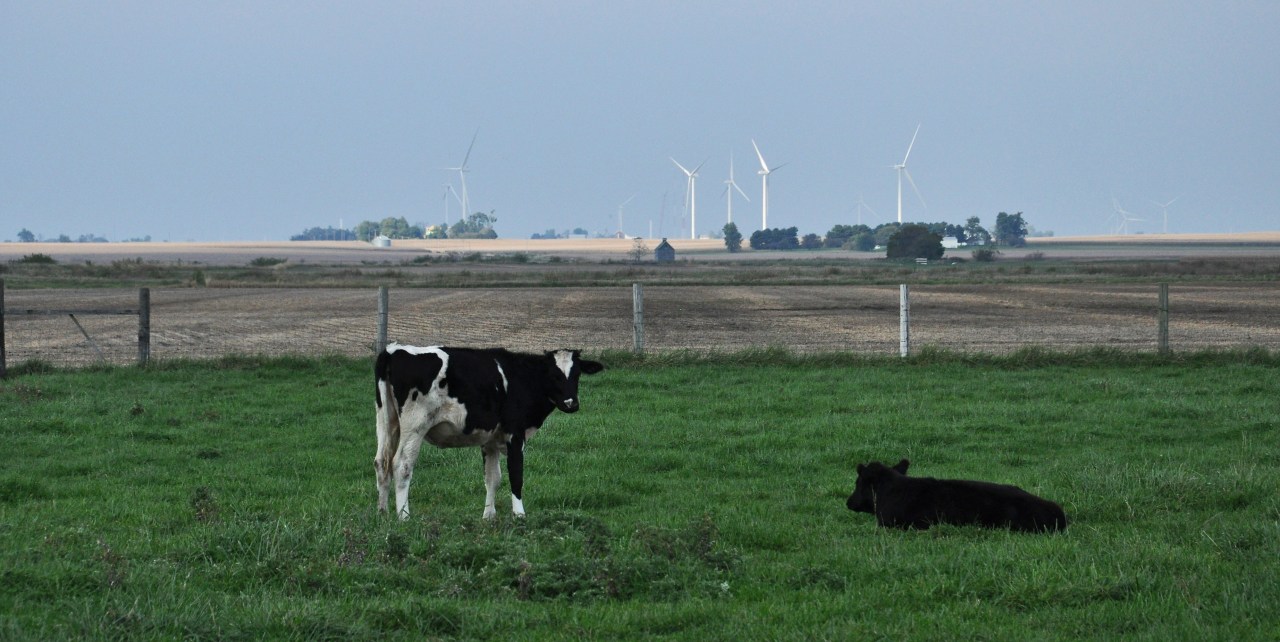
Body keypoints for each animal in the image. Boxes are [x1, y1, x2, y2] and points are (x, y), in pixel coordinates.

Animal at [374, 344, 604, 520]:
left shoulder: (490, 440)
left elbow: (492, 478)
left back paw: (383, 513)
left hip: (387, 423)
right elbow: (516, 474)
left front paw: (488, 517)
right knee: (401, 465)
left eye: (577, 374)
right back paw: (404, 517)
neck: (522, 378)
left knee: (381, 462)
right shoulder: (515, 434)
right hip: (415, 426)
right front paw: (519, 515)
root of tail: (393, 350)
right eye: (553, 375)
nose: (571, 403)